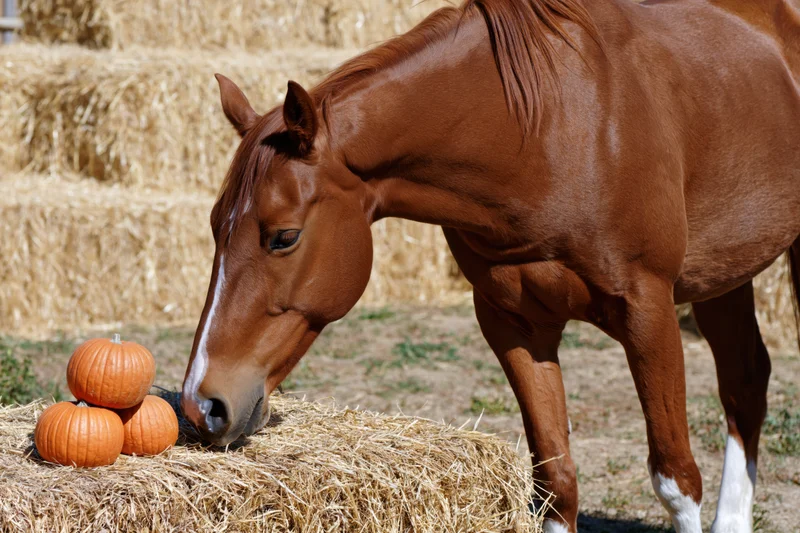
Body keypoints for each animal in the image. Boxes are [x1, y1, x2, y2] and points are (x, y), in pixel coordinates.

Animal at [180, 0, 800, 530]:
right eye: (213, 227)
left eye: (283, 237)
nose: (202, 404)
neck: (550, 133)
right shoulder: (513, 324)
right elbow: (556, 481)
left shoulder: (648, 311)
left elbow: (675, 479)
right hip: (722, 272)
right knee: (746, 376)